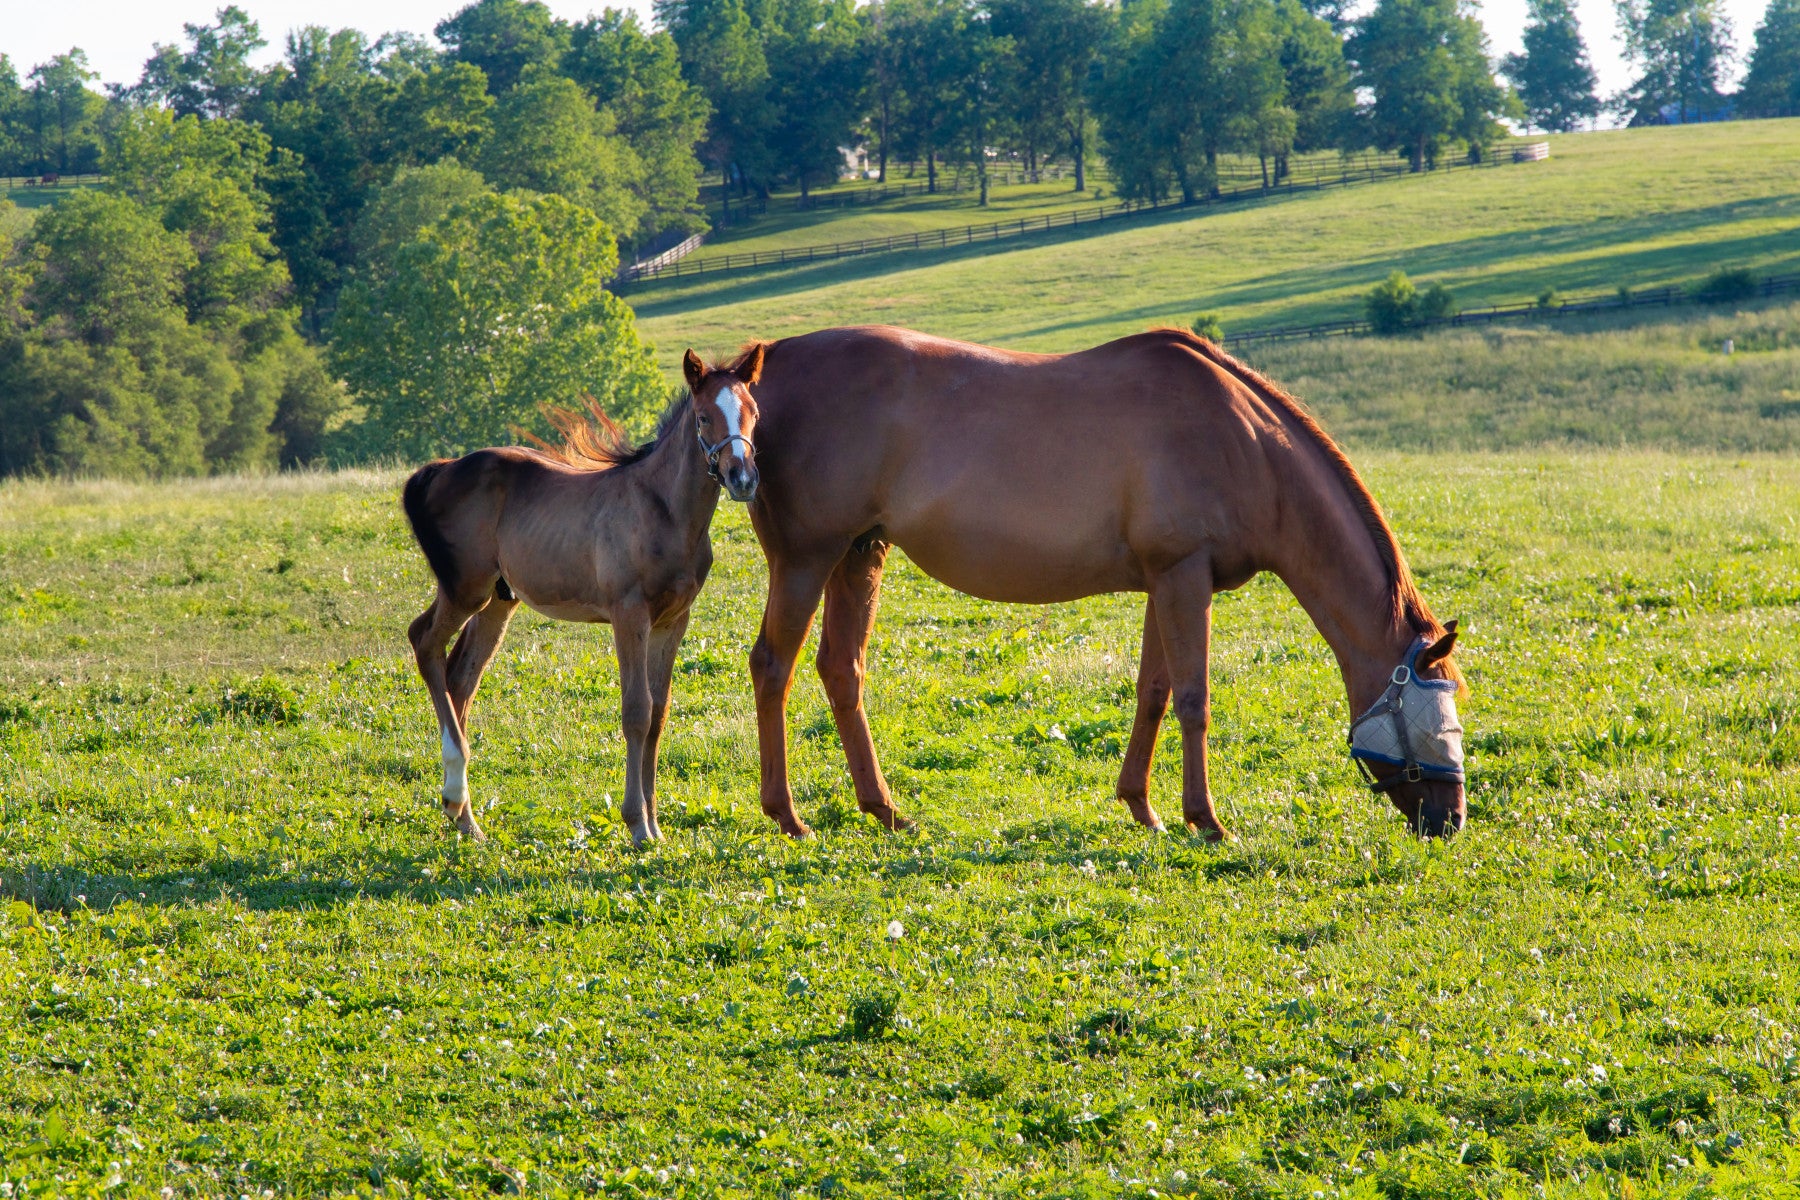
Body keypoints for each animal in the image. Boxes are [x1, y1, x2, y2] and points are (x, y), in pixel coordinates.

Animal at [401, 346, 765, 846]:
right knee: (424, 642)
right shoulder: (629, 615)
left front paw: (655, 825)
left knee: (461, 678)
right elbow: (637, 711)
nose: (742, 477)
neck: (665, 511)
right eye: (704, 417)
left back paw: (466, 818)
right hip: (465, 589)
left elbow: (659, 712)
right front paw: (637, 824)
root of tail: (438, 470)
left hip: (498, 600)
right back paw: (455, 794)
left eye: (753, 413)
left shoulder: (674, 620)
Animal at [735, 325, 1468, 841]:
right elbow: (1194, 699)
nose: (1453, 820)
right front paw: (1206, 820)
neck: (1245, 444)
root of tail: (764, 370)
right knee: (773, 666)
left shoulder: (1168, 582)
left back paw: (883, 809)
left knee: (842, 669)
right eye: (1433, 718)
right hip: (805, 560)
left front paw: (1143, 807)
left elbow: (1154, 692)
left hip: (859, 555)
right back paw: (787, 815)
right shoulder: (1183, 577)